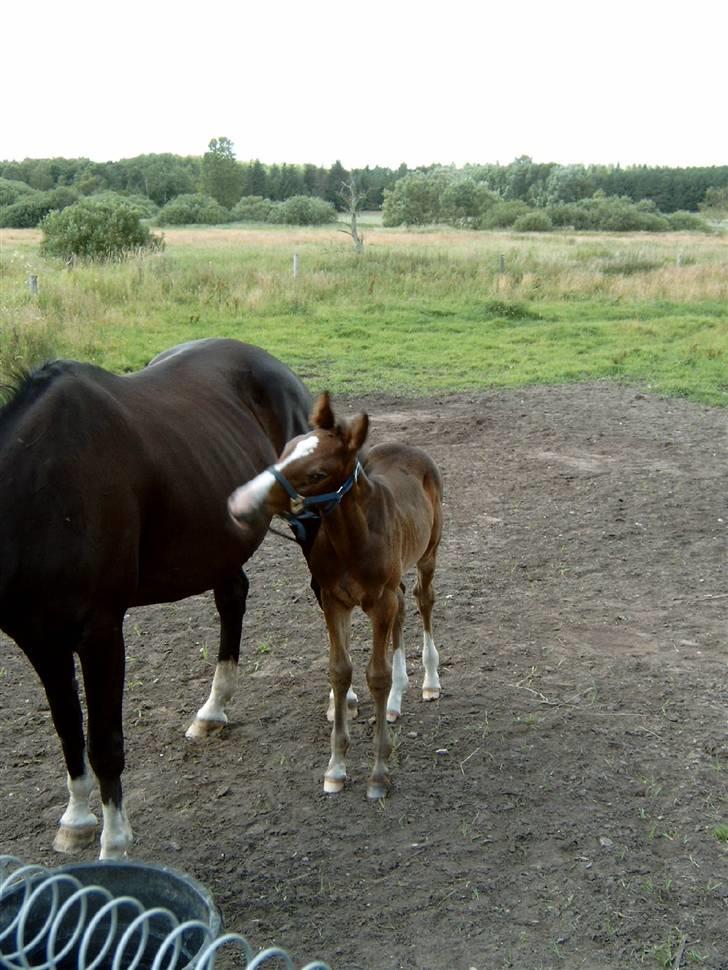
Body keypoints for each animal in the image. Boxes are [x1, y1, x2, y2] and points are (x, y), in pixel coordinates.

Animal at [0, 338, 310, 856]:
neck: (39, 487)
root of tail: (275, 366)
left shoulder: (101, 632)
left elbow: (104, 743)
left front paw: (113, 845)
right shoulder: (39, 639)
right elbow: (67, 730)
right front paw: (76, 820)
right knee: (233, 599)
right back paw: (212, 711)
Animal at [229, 390, 444, 796]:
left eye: (317, 473)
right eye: (286, 450)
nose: (240, 502)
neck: (352, 541)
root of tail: (407, 446)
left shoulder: (378, 602)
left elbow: (376, 676)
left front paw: (379, 772)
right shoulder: (334, 601)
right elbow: (340, 671)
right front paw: (337, 766)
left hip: (428, 554)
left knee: (423, 600)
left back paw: (429, 681)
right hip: (394, 582)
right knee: (404, 604)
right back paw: (396, 701)